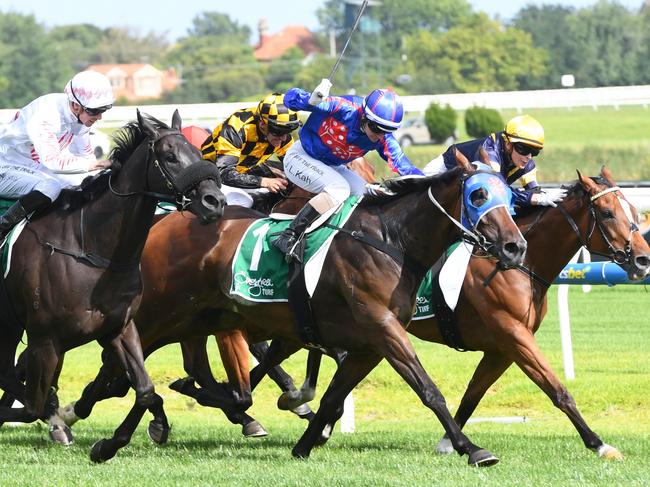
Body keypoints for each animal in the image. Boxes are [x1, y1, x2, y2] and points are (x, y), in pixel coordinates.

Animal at [0, 109, 225, 450]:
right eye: (170, 156)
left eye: (199, 153)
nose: (215, 201)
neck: (91, 247)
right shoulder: (45, 339)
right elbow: (33, 405)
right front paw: (60, 420)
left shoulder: (118, 328)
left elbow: (145, 390)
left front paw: (121, 440)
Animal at [59, 156, 528, 466]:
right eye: (478, 194)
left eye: (511, 196)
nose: (514, 247)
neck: (390, 241)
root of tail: (164, 222)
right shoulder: (383, 329)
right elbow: (428, 390)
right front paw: (472, 448)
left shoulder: (367, 343)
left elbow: (334, 394)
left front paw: (304, 442)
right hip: (164, 311)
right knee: (131, 366)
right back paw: (94, 425)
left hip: (198, 317)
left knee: (143, 372)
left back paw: (119, 428)